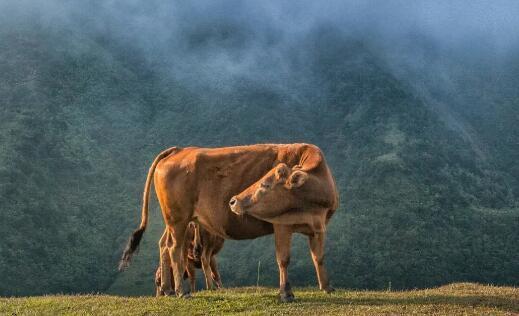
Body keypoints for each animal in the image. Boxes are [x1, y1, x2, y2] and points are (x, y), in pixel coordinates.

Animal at [122, 144, 342, 302]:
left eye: (265, 184)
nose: (234, 200)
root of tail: (180, 150)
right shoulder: (282, 225)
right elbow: (283, 259)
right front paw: (286, 293)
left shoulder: (318, 227)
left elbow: (318, 257)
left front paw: (327, 287)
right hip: (178, 219)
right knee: (175, 249)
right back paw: (181, 291)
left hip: (176, 220)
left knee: (164, 245)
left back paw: (167, 289)